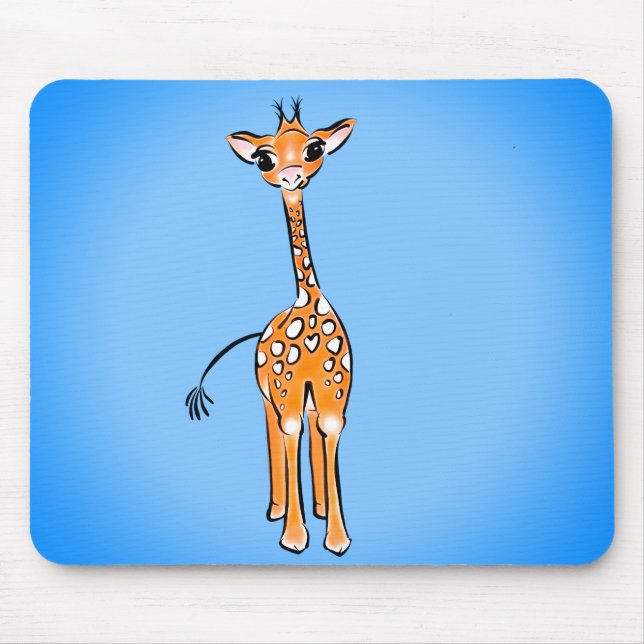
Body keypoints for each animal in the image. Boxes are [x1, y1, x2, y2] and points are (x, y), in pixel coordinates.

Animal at [186, 98, 356, 556]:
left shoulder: (334, 394)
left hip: (308, 396)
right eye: (265, 158)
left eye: (315, 149)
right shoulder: (285, 391)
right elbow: (289, 435)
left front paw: (336, 537)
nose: (292, 176)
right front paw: (294, 537)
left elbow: (328, 435)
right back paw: (278, 509)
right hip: (268, 394)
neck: (308, 304)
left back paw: (319, 508)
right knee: (276, 434)